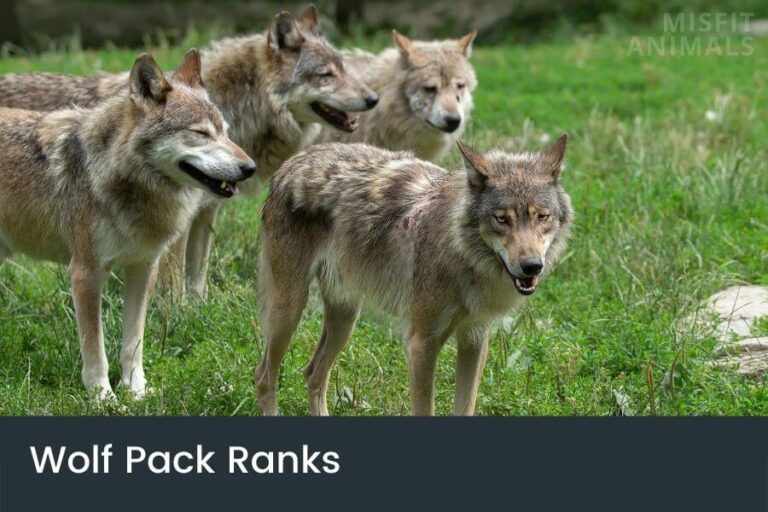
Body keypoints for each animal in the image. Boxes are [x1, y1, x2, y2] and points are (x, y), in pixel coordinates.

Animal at [0, 5, 378, 298]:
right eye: (326, 75)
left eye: (344, 68)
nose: (373, 98)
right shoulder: (175, 225)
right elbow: (175, 279)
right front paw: (175, 314)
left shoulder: (204, 214)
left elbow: (198, 274)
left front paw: (197, 309)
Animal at [0, 50, 255, 399]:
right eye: (200, 133)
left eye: (225, 132)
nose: (250, 168)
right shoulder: (85, 273)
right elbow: (96, 348)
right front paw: (103, 397)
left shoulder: (144, 268)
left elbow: (133, 343)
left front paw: (136, 393)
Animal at [255, 135, 574, 415]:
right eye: (502, 219)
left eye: (542, 217)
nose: (531, 266)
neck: (462, 255)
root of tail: (292, 162)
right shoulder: (421, 344)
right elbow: (425, 408)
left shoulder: (474, 339)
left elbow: (466, 408)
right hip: (289, 311)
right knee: (264, 377)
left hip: (345, 318)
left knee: (313, 373)